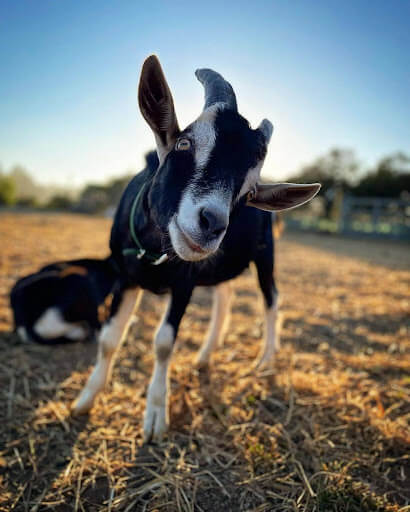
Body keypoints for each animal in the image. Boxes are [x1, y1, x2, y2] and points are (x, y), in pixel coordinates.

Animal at [71, 55, 320, 440]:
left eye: (248, 192)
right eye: (184, 144)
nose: (212, 223)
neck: (154, 251)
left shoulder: (183, 284)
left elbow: (162, 343)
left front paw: (155, 417)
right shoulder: (125, 277)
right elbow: (110, 338)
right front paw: (85, 400)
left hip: (265, 255)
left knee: (272, 300)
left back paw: (264, 361)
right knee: (226, 295)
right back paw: (205, 356)